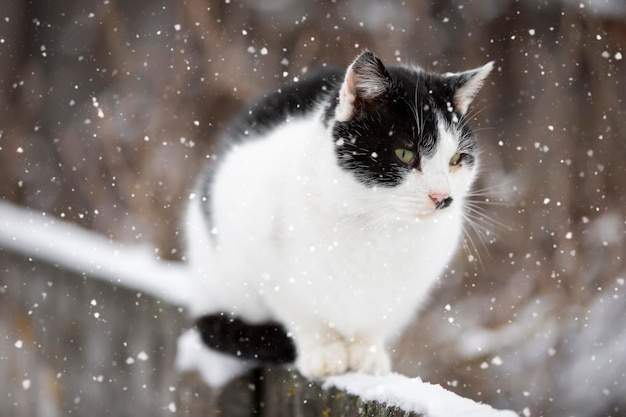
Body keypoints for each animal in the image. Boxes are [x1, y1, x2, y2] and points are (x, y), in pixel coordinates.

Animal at [182, 50, 492, 378]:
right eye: (405, 154)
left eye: (456, 159)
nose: (443, 197)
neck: (377, 226)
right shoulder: (265, 262)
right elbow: (304, 317)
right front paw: (324, 353)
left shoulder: (403, 295)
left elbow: (375, 323)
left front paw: (366, 355)